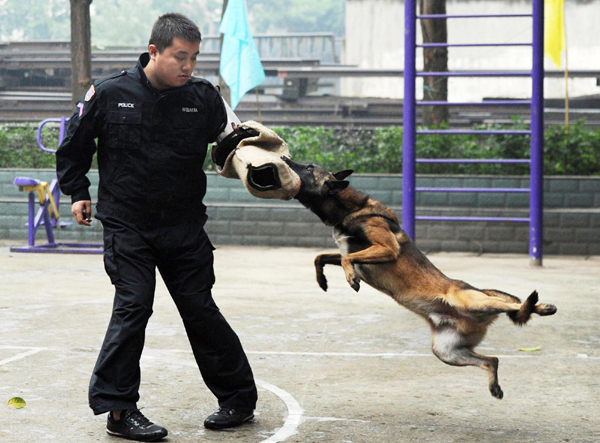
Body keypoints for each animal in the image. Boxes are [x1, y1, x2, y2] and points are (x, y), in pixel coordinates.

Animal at [282, 158, 556, 400]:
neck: (352, 208)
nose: (285, 158)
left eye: (308, 168)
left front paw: (350, 278)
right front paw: (322, 281)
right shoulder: (347, 252)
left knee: (515, 305)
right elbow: (320, 257)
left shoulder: (386, 248)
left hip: (470, 301)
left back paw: (544, 307)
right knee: (493, 359)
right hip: (446, 352)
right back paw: (495, 387)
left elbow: (348, 259)